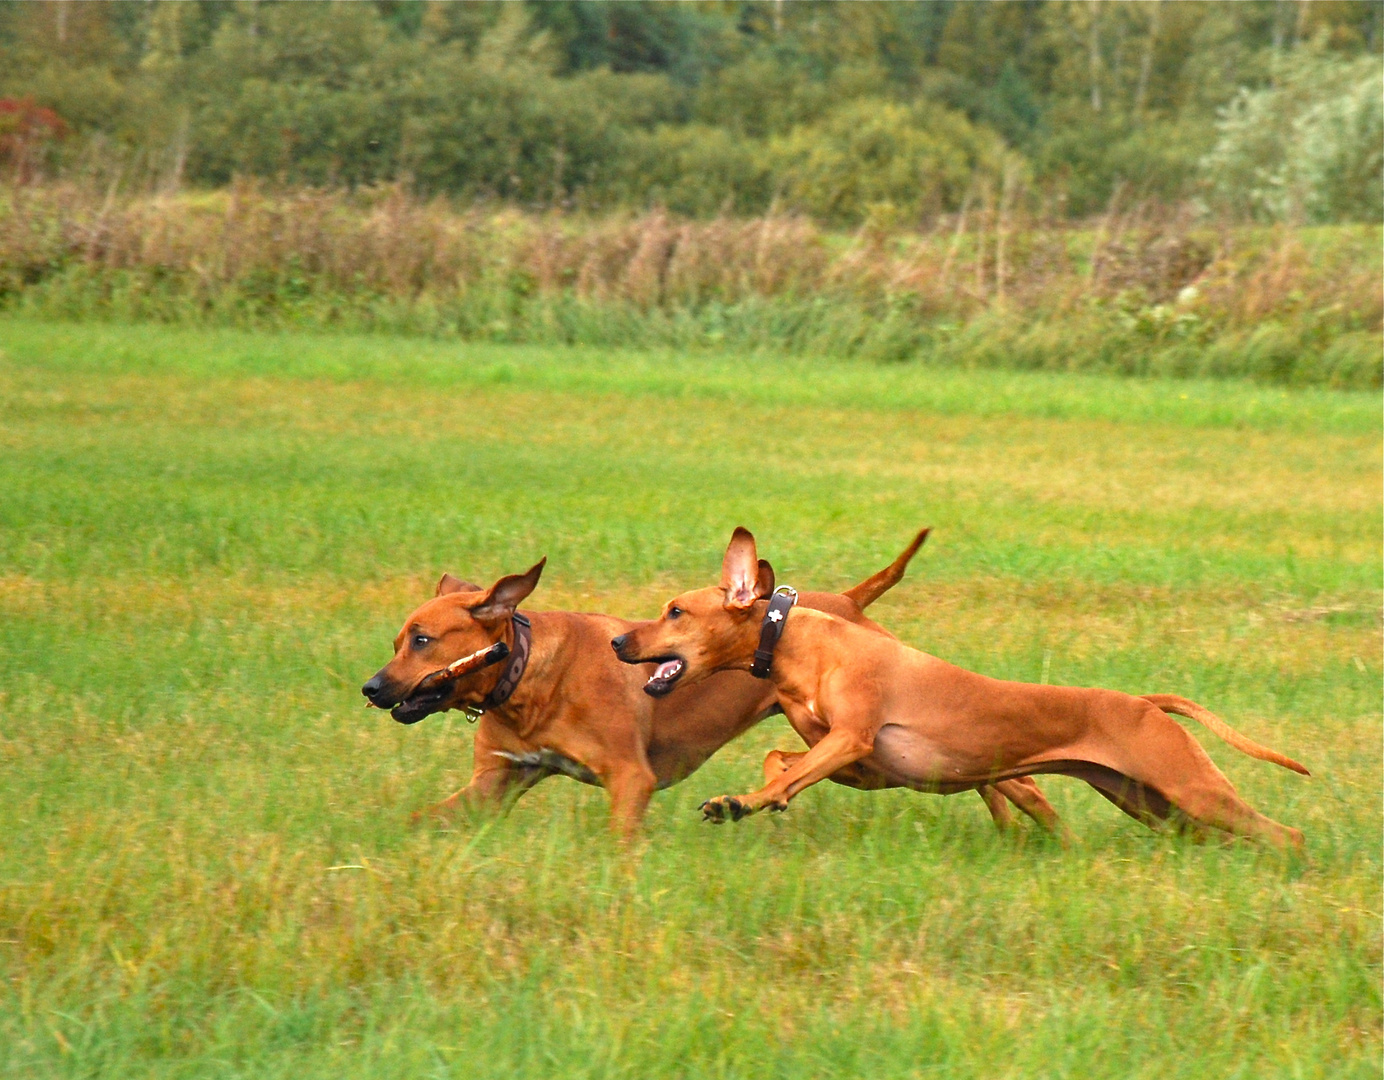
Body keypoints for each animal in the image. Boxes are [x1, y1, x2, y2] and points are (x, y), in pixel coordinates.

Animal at [359, 534, 1057, 841]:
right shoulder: (495, 784)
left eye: (422, 640)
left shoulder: (630, 779)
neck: (525, 675)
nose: (370, 687)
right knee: (990, 780)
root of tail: (849, 600)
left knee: (1015, 781)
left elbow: (623, 839)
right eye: (397, 640)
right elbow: (427, 818)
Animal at [611, 528, 1312, 852]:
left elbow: (788, 770)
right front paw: (757, 800)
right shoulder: (854, 759)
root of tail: (1142, 703)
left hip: (1192, 790)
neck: (791, 638)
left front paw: (739, 803)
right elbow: (779, 759)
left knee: (1286, 834)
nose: (618, 643)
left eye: (674, 611)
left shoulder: (852, 739)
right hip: (1149, 802)